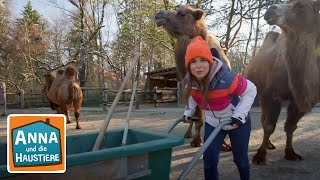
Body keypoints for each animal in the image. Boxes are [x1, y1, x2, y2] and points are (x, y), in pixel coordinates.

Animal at [154, 4, 231, 150]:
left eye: (181, 13)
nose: (158, 15)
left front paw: (225, 144)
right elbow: (198, 117)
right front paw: (197, 141)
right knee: (190, 112)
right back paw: (188, 133)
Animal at [245, 0, 320, 165]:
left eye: (300, 5)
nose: (270, 9)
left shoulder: (301, 101)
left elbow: (290, 127)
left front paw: (291, 153)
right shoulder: (270, 94)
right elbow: (269, 126)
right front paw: (260, 156)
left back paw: (269, 144)